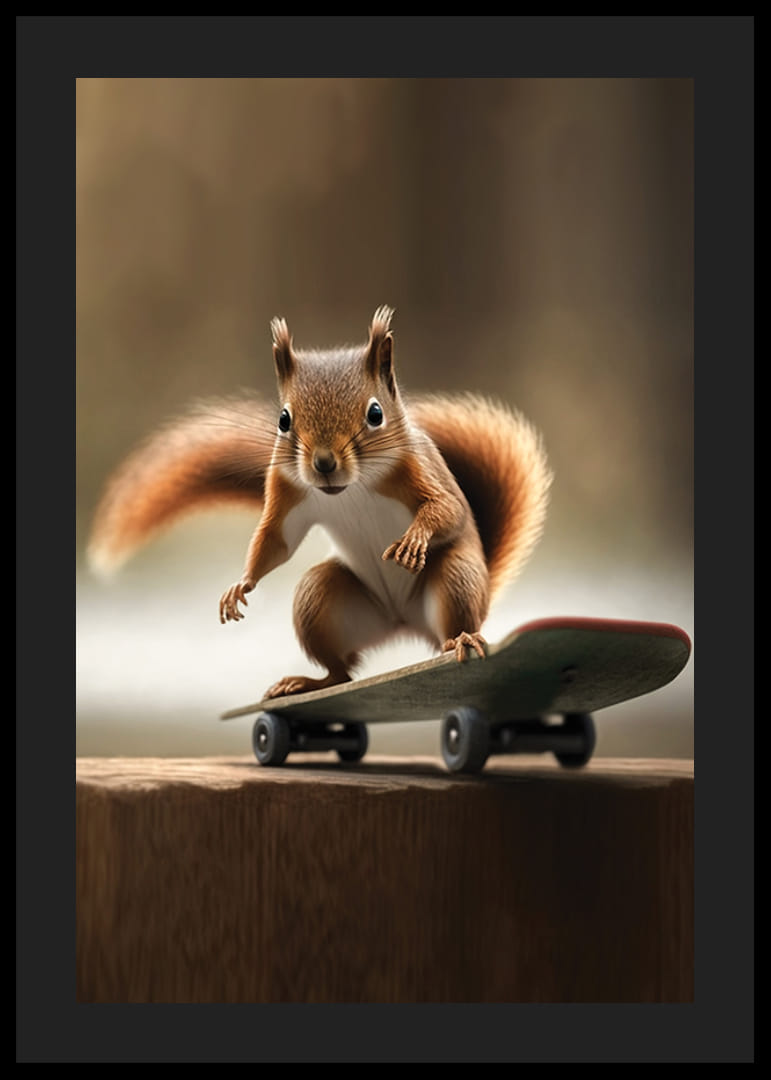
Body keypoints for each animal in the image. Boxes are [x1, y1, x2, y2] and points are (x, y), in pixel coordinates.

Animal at [88, 306, 553, 699]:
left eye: (376, 414)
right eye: (283, 419)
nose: (324, 462)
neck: (354, 488)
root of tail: (401, 622)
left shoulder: (421, 471)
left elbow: (449, 509)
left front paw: (414, 537)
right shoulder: (287, 490)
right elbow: (277, 539)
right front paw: (242, 584)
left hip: (457, 578)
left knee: (450, 625)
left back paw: (462, 638)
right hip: (322, 599)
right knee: (341, 670)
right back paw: (309, 682)